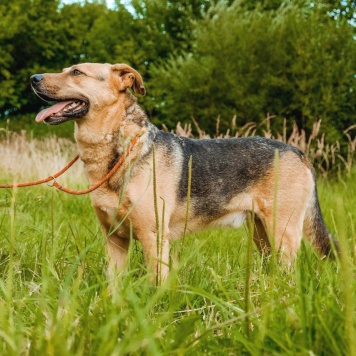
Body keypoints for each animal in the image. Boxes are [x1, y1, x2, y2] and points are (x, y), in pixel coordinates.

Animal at [29, 62, 336, 280]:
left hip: (283, 233)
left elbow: (156, 284)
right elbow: (112, 287)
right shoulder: (115, 239)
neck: (118, 149)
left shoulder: (154, 237)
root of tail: (299, 152)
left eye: (77, 72)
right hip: (261, 235)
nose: (33, 78)